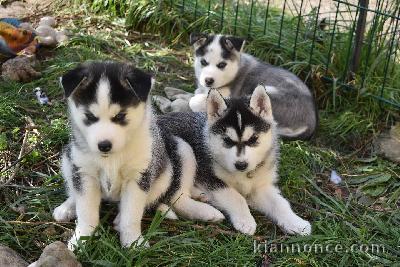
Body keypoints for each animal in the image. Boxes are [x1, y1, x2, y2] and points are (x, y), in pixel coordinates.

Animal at [52, 60, 225, 249]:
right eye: (89, 116)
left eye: (120, 115)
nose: (104, 145)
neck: (111, 158)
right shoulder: (84, 173)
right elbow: (86, 212)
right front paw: (81, 238)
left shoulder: (139, 176)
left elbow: (132, 214)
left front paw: (133, 242)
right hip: (68, 159)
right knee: (73, 189)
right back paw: (67, 207)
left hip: (175, 160)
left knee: (172, 198)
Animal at [159, 86, 312, 237]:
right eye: (227, 140)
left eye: (253, 139)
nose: (241, 165)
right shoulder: (208, 176)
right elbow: (236, 196)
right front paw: (245, 220)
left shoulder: (259, 186)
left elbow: (280, 203)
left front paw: (296, 222)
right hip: (183, 148)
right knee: (176, 199)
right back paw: (207, 212)